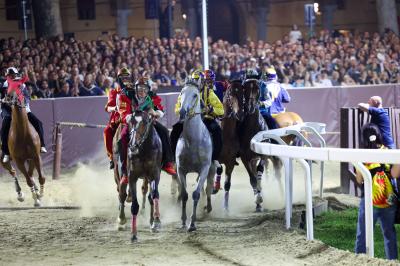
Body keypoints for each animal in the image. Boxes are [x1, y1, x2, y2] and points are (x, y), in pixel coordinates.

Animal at [126, 110, 161, 241]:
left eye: (145, 122)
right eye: (131, 121)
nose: (133, 146)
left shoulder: (155, 174)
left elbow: (154, 195)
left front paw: (156, 221)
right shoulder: (132, 177)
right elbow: (134, 206)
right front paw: (133, 234)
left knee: (151, 196)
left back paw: (153, 222)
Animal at [176, 82, 214, 232]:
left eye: (195, 95)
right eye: (181, 92)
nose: (182, 112)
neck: (192, 141)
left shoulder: (204, 168)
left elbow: (196, 194)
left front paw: (192, 223)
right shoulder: (181, 169)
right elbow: (184, 194)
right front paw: (183, 221)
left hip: (211, 168)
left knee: (208, 188)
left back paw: (208, 208)